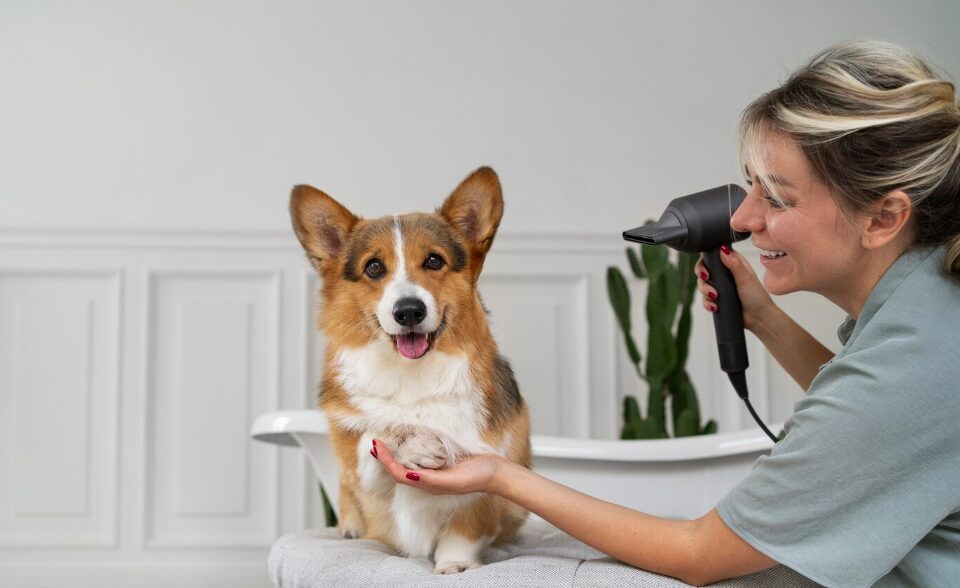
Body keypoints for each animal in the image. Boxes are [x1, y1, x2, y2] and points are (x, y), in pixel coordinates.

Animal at [290, 167, 532, 576]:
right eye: (373, 266)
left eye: (434, 261)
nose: (408, 311)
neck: (411, 374)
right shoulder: (362, 471)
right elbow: (374, 436)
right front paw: (410, 442)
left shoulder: (491, 482)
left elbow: (464, 530)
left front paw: (455, 565)